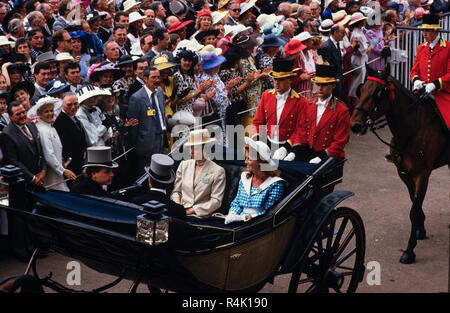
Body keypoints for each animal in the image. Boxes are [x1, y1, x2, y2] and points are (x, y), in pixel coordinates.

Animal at [350, 66, 448, 264]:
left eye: (378, 92)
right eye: (361, 89)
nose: (355, 125)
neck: (412, 130)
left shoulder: (422, 175)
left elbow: (413, 210)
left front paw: (409, 250)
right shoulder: (404, 173)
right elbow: (414, 204)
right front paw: (420, 229)